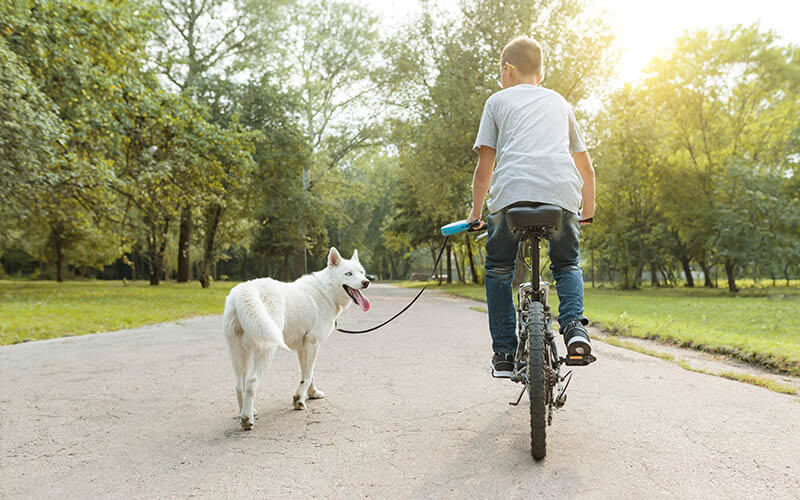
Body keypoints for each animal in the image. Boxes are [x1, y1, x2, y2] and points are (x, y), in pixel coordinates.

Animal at [223, 248, 370, 428]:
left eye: (361, 272)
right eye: (348, 274)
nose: (366, 282)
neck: (326, 291)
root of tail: (245, 290)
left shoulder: (303, 348)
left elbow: (308, 374)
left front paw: (312, 394)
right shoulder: (313, 343)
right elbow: (307, 375)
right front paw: (299, 400)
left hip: (239, 353)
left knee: (239, 385)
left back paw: (245, 411)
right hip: (266, 351)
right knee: (251, 383)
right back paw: (246, 419)